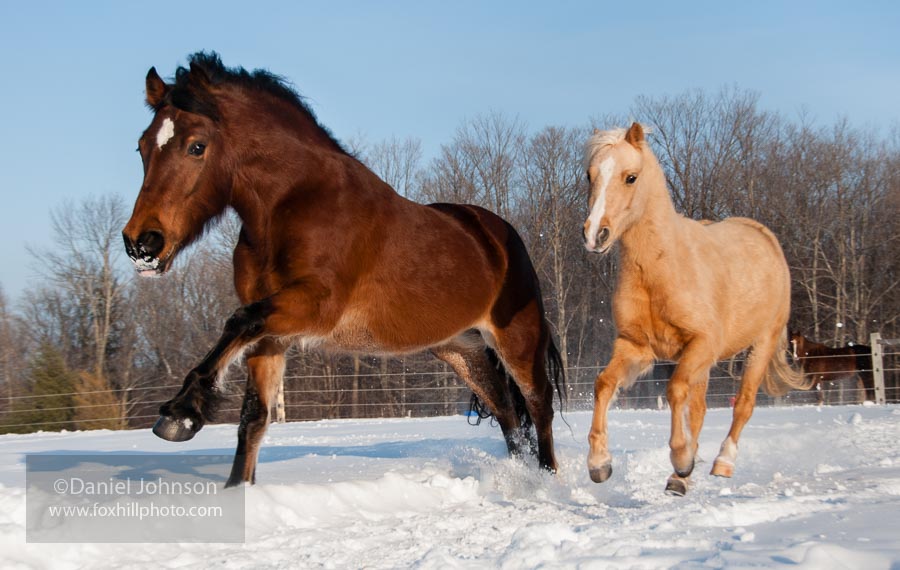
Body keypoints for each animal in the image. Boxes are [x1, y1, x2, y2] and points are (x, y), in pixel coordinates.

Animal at [120, 52, 564, 484]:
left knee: (538, 406)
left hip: (518, 342)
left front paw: (180, 413)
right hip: (462, 350)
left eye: (196, 146)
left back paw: (548, 480)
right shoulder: (273, 337)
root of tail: (499, 235)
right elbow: (254, 418)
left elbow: (239, 320)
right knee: (506, 412)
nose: (142, 244)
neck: (294, 203)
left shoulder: (316, 308)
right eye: (141, 147)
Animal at [580, 123, 812, 492]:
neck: (662, 268)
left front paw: (680, 457)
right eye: (590, 176)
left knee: (743, 404)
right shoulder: (636, 347)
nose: (594, 236)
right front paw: (600, 464)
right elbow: (603, 384)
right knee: (700, 409)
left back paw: (721, 463)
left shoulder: (701, 344)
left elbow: (675, 391)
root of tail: (762, 234)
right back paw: (681, 479)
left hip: (759, 344)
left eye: (631, 177)